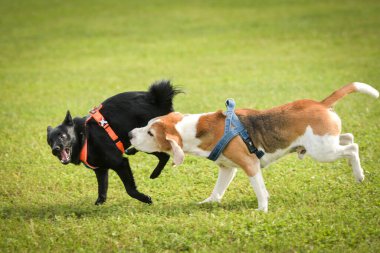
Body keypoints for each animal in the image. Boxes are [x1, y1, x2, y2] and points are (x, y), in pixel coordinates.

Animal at [47, 81, 181, 206]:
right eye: (49, 141)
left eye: (63, 136)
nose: (55, 149)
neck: (84, 136)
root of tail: (156, 98)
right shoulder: (101, 170)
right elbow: (102, 190)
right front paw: (98, 205)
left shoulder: (120, 163)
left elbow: (130, 190)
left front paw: (145, 199)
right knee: (164, 156)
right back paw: (151, 170)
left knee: (165, 154)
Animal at [129, 83, 378, 211]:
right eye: (147, 125)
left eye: (150, 133)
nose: (130, 134)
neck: (194, 128)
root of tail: (320, 104)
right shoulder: (227, 168)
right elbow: (217, 190)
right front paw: (208, 202)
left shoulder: (250, 165)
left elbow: (260, 191)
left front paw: (262, 210)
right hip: (325, 143)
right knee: (349, 137)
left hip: (323, 152)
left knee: (353, 148)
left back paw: (359, 175)